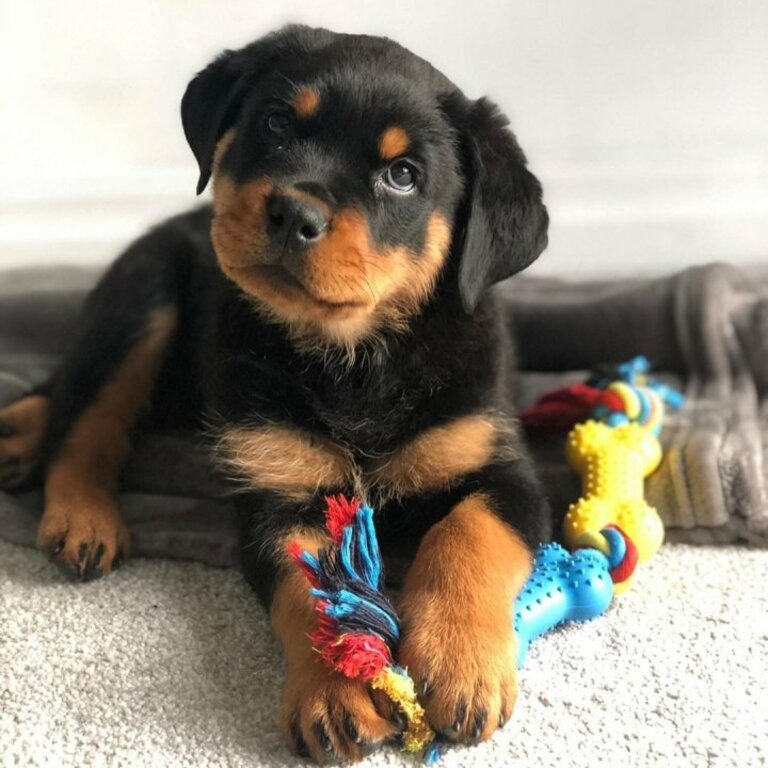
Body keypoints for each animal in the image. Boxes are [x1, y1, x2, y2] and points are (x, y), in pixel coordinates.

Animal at [0, 24, 552, 760]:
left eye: (403, 175)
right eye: (277, 123)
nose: (294, 212)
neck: (352, 359)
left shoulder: (500, 465)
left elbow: (468, 535)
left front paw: (458, 665)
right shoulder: (277, 486)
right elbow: (311, 590)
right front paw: (336, 693)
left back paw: (19, 441)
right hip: (143, 296)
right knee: (87, 416)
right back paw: (80, 516)